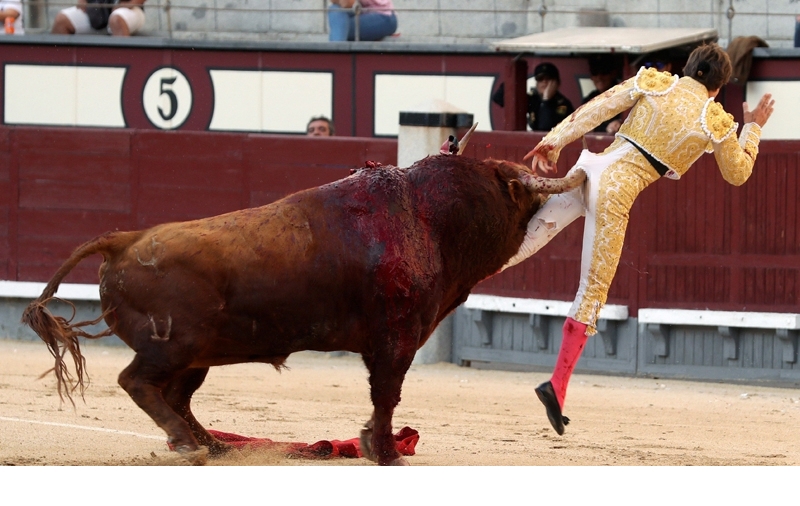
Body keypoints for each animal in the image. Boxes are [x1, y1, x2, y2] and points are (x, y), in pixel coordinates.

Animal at [21, 131, 584, 466]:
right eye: (521, 195)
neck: (432, 219)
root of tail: (124, 239)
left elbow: (383, 397)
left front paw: (373, 445)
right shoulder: (395, 339)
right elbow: (387, 395)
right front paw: (386, 452)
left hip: (198, 354)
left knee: (176, 396)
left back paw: (213, 445)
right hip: (174, 345)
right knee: (137, 382)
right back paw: (187, 445)